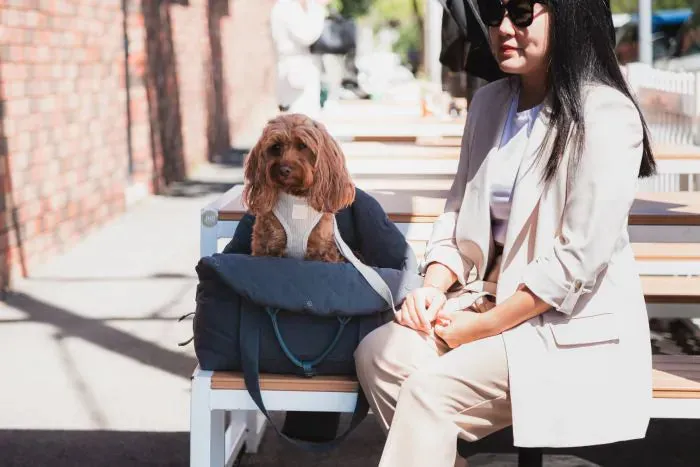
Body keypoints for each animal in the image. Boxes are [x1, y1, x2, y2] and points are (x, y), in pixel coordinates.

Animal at [245, 111, 356, 262]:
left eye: (303, 146)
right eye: (276, 147)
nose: (284, 170)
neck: (294, 195)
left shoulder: (321, 249)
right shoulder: (267, 246)